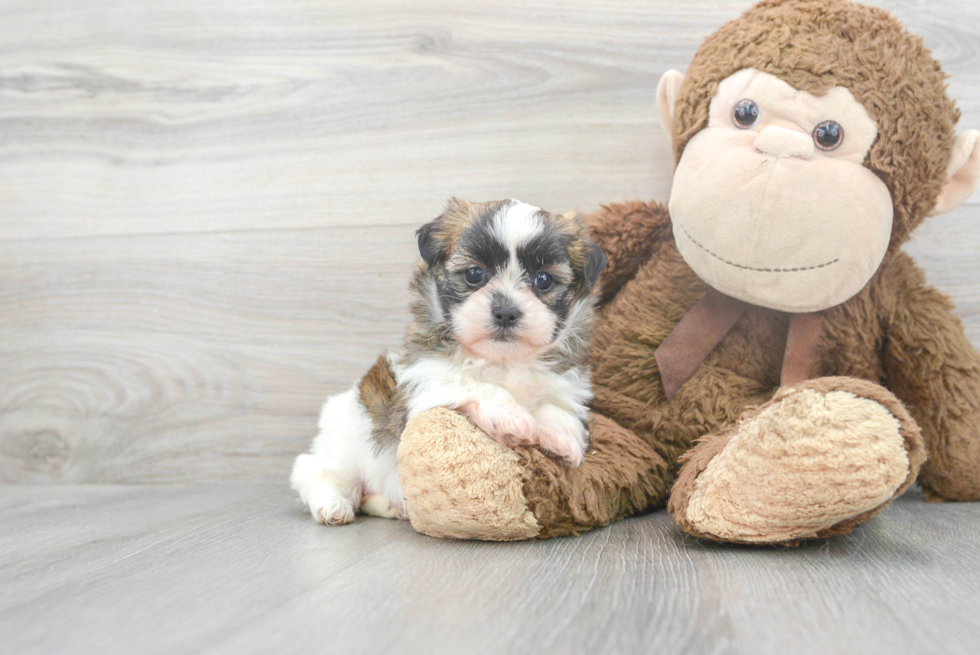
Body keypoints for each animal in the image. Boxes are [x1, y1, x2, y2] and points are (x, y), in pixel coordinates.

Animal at [290, 197, 604, 524]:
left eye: (543, 280)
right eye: (474, 274)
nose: (506, 312)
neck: (503, 360)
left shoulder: (565, 384)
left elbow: (557, 408)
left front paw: (562, 438)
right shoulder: (428, 378)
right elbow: (477, 386)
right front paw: (514, 419)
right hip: (344, 445)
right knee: (314, 472)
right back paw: (332, 506)